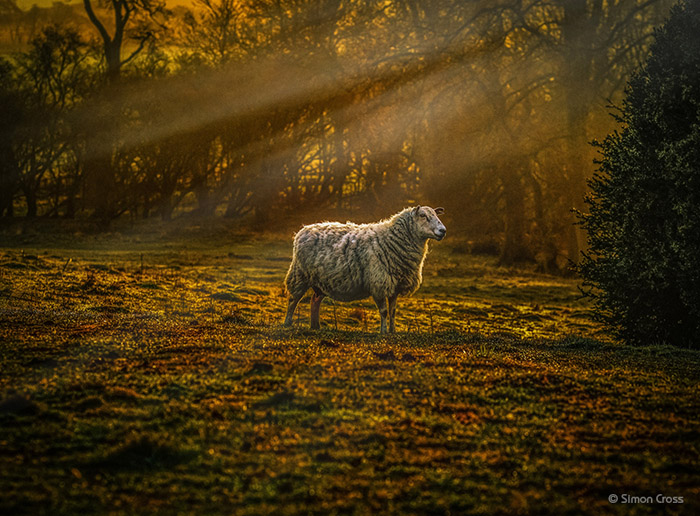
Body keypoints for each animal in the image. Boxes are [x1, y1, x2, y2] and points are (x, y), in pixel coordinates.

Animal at [282, 206, 446, 334]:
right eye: (423, 216)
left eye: (436, 215)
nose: (442, 230)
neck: (392, 240)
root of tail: (305, 229)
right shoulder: (379, 283)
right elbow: (384, 311)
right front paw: (383, 332)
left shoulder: (395, 285)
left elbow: (393, 312)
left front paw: (393, 331)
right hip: (299, 275)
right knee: (293, 299)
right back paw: (288, 323)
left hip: (322, 281)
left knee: (314, 300)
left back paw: (315, 326)